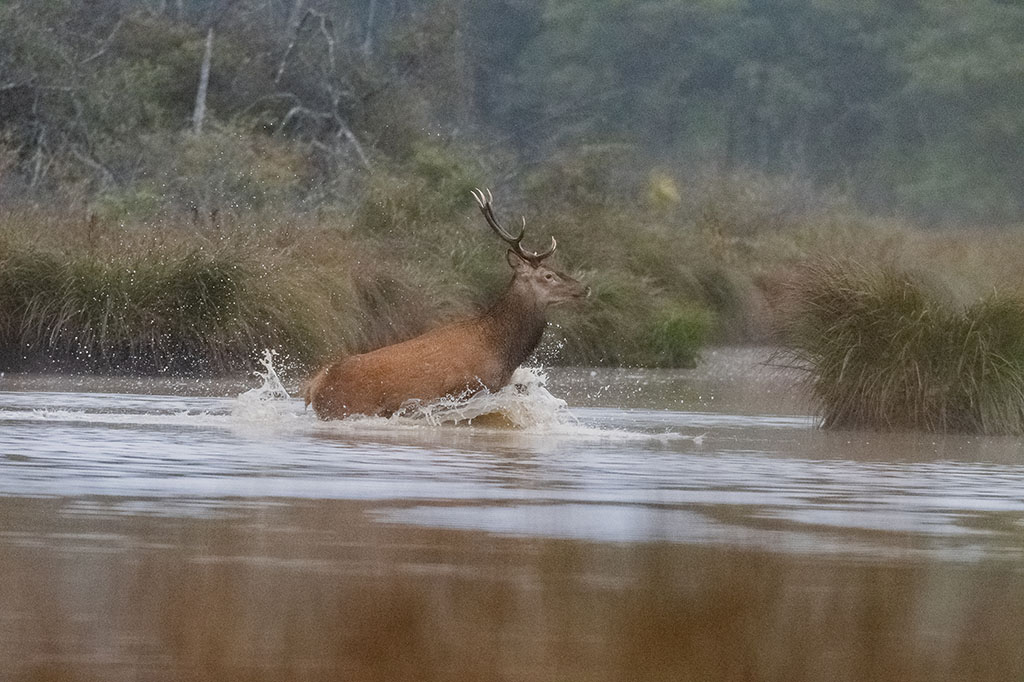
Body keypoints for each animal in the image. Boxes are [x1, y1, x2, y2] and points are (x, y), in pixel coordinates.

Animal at [304, 189, 590, 420]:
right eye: (548, 275)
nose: (585, 288)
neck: (501, 349)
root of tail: (314, 385)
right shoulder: (466, 389)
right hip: (345, 408)